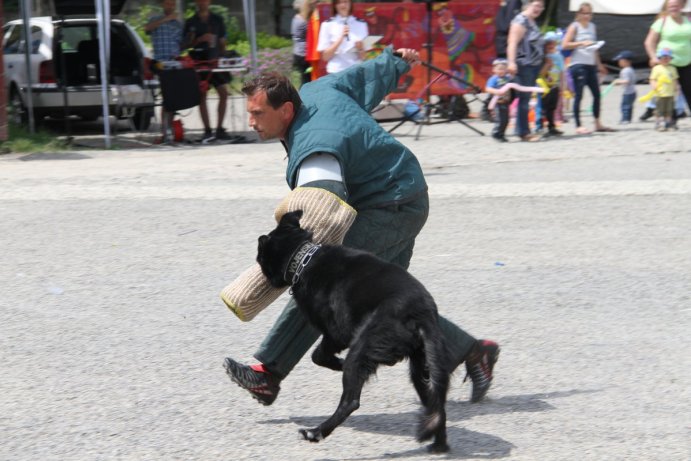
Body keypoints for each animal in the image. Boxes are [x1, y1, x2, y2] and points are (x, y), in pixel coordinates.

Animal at [256, 210, 452, 452]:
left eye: (259, 257)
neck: (304, 259)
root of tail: (421, 314)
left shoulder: (336, 334)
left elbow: (318, 356)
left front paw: (338, 364)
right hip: (421, 368)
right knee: (435, 403)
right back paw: (439, 444)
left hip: (362, 347)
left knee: (350, 401)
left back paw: (316, 432)